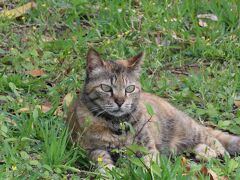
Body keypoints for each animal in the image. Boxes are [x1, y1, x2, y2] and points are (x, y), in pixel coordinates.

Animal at [65, 48, 240, 169]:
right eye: (106, 88)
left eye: (129, 89)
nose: (120, 102)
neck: (117, 125)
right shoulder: (91, 149)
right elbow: (103, 162)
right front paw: (109, 172)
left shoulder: (148, 148)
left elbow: (149, 164)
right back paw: (206, 153)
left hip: (190, 130)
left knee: (212, 139)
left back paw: (220, 153)